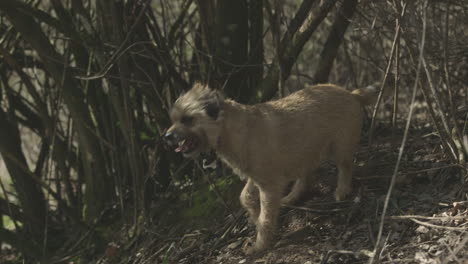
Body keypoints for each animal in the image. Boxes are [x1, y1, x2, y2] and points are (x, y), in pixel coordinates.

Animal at [165, 83, 376, 255]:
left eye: (188, 119)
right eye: (174, 119)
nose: (166, 136)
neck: (234, 129)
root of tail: (351, 93)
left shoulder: (269, 185)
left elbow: (266, 216)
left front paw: (260, 244)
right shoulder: (257, 177)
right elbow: (245, 197)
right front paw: (254, 216)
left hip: (339, 147)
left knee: (345, 166)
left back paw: (342, 190)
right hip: (304, 152)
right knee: (306, 178)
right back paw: (291, 197)